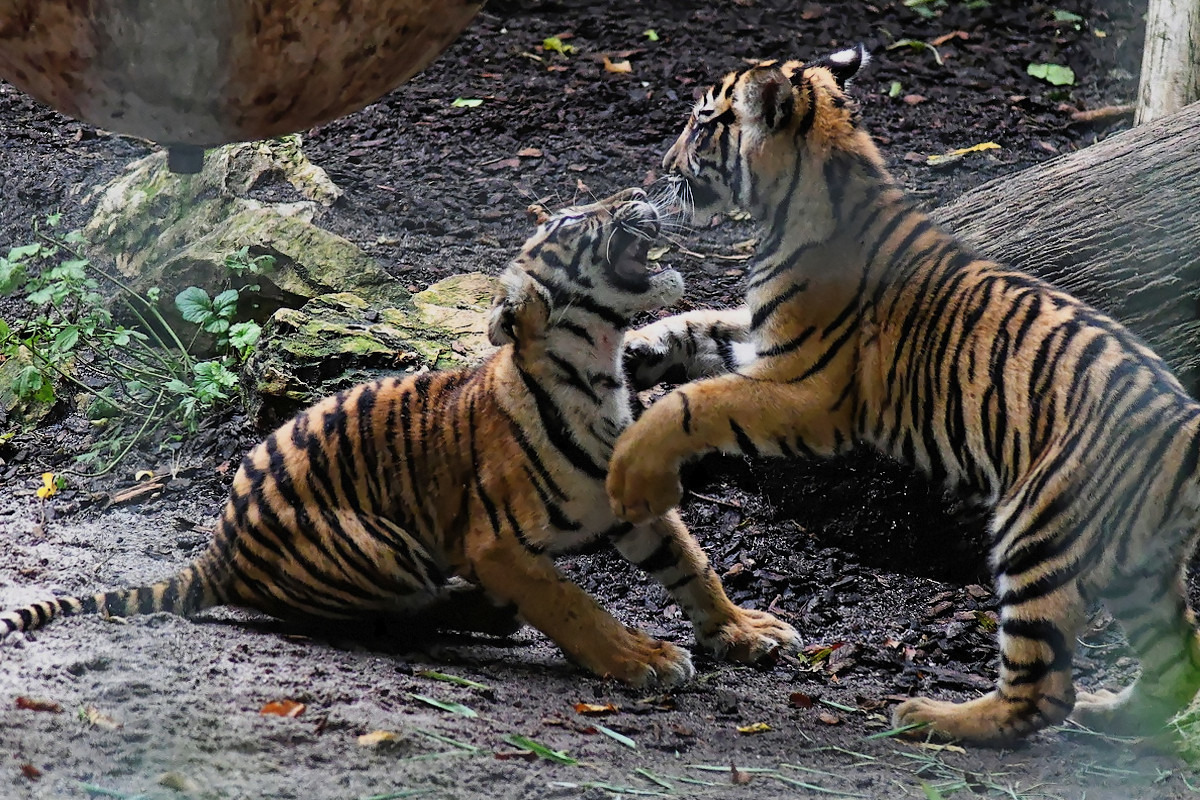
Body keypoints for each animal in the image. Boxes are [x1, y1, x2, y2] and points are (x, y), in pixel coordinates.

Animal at [1, 188, 798, 686]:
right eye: (576, 219)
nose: (638, 189)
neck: (601, 371)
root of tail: (217, 552)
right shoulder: (495, 543)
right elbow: (576, 604)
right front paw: (641, 659)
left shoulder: (631, 500)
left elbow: (694, 566)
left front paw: (743, 631)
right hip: (380, 542)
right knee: (387, 623)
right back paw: (480, 611)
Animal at [605, 45, 1200, 744]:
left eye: (701, 126)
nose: (662, 169)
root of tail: (1186, 426)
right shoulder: (763, 344)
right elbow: (692, 326)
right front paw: (631, 351)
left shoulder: (808, 390)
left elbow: (698, 400)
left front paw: (632, 464)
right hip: (1142, 568)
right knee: (1178, 657)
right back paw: (1113, 713)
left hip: (1039, 534)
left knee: (1042, 689)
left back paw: (933, 717)